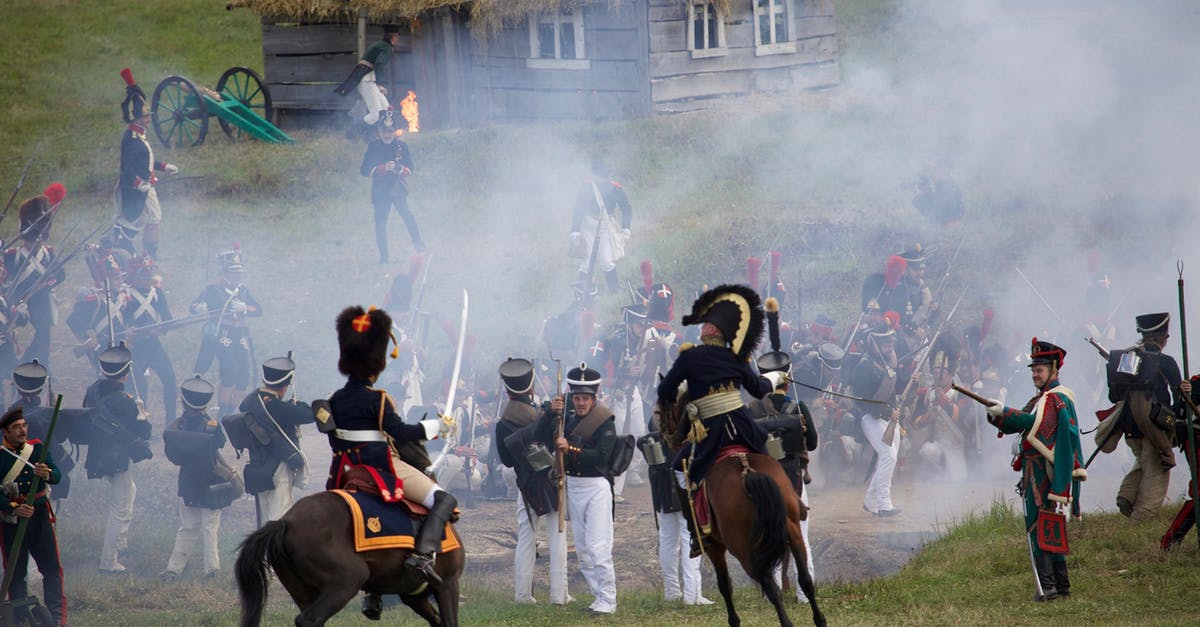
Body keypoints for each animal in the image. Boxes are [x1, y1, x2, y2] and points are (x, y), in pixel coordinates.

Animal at [234, 490, 463, 619]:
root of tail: (286, 521)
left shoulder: (414, 596)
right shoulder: (447, 585)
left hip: (304, 592)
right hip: (346, 582)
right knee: (309, 619)